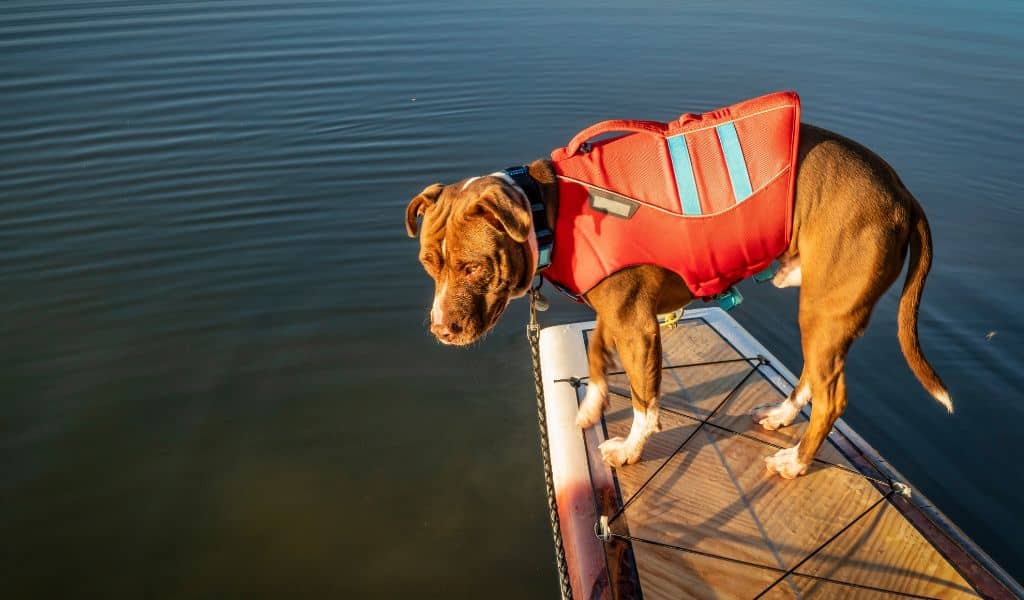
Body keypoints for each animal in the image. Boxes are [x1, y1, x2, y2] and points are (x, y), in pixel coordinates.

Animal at [405, 123, 950, 479]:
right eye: (429, 265)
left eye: (473, 268)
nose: (439, 329)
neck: (548, 210)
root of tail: (901, 192)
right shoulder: (618, 314)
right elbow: (597, 353)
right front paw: (592, 404)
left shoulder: (638, 326)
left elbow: (645, 401)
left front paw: (629, 449)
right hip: (823, 315)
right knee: (815, 380)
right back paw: (780, 417)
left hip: (825, 311)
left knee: (832, 395)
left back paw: (795, 462)